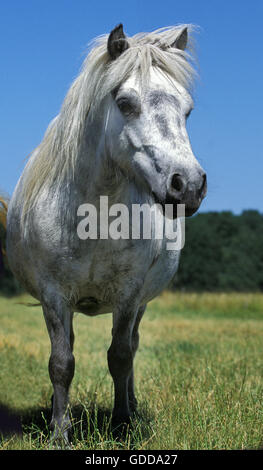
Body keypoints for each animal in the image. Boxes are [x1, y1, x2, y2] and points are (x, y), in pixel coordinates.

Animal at [2, 22, 208, 440]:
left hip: (141, 303)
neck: (93, 219)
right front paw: (60, 432)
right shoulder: (54, 296)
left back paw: (130, 404)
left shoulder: (128, 295)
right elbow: (61, 362)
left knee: (132, 346)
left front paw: (123, 423)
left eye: (187, 109)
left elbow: (121, 357)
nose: (189, 186)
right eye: (126, 103)